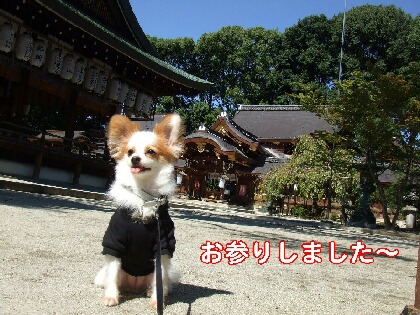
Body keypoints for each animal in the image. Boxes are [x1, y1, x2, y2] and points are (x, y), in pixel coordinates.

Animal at [96, 113, 183, 308]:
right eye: (130, 152)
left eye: (150, 151)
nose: (135, 158)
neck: (144, 200)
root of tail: (134, 286)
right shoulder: (114, 243)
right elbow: (112, 274)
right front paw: (111, 297)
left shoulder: (162, 245)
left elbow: (160, 277)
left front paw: (157, 301)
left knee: (160, 281)